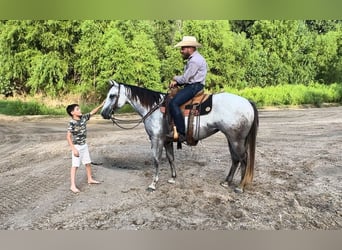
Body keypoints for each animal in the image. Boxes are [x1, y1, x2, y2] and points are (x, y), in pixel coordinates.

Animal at [101, 80, 260, 193]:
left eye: (112, 96)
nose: (103, 113)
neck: (153, 108)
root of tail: (247, 102)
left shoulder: (156, 139)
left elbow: (156, 160)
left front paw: (153, 184)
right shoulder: (167, 141)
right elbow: (171, 158)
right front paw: (172, 178)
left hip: (236, 139)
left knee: (244, 160)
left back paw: (240, 187)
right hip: (231, 139)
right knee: (235, 159)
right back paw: (227, 182)